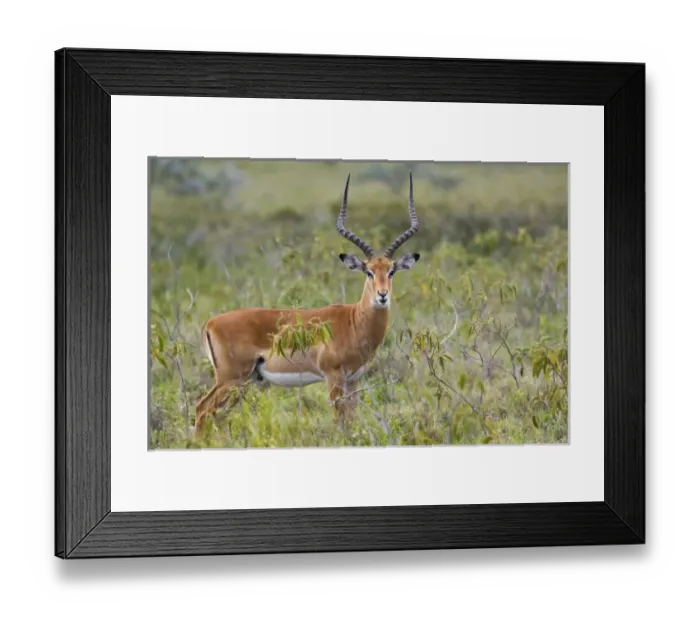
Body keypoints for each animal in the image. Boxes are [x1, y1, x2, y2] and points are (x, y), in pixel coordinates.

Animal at [194, 172, 421, 432]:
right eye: (368, 271)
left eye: (391, 271)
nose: (382, 295)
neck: (354, 321)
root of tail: (210, 323)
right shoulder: (333, 377)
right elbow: (339, 421)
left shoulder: (354, 379)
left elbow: (352, 419)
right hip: (232, 378)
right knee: (202, 410)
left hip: (240, 381)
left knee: (214, 414)